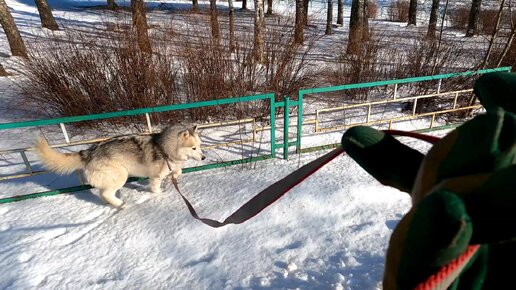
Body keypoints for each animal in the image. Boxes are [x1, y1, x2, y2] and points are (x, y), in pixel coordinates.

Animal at [34, 126, 206, 208]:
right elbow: (156, 186)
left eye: (199, 146)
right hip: (121, 175)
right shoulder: (156, 175)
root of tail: (89, 151)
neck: (164, 148)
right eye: (193, 148)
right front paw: (159, 194)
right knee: (107, 193)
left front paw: (174, 177)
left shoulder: (172, 166)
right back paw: (120, 204)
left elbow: (178, 171)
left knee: (102, 193)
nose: (204, 157)